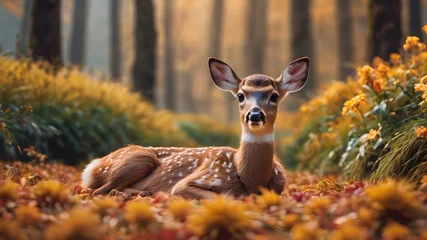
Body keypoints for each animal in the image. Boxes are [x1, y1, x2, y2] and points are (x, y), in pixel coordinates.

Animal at [80, 56, 310, 199]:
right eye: (240, 95)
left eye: (274, 96)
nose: (254, 115)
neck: (249, 178)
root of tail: (93, 166)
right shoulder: (195, 179)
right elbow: (227, 196)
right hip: (138, 158)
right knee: (99, 191)